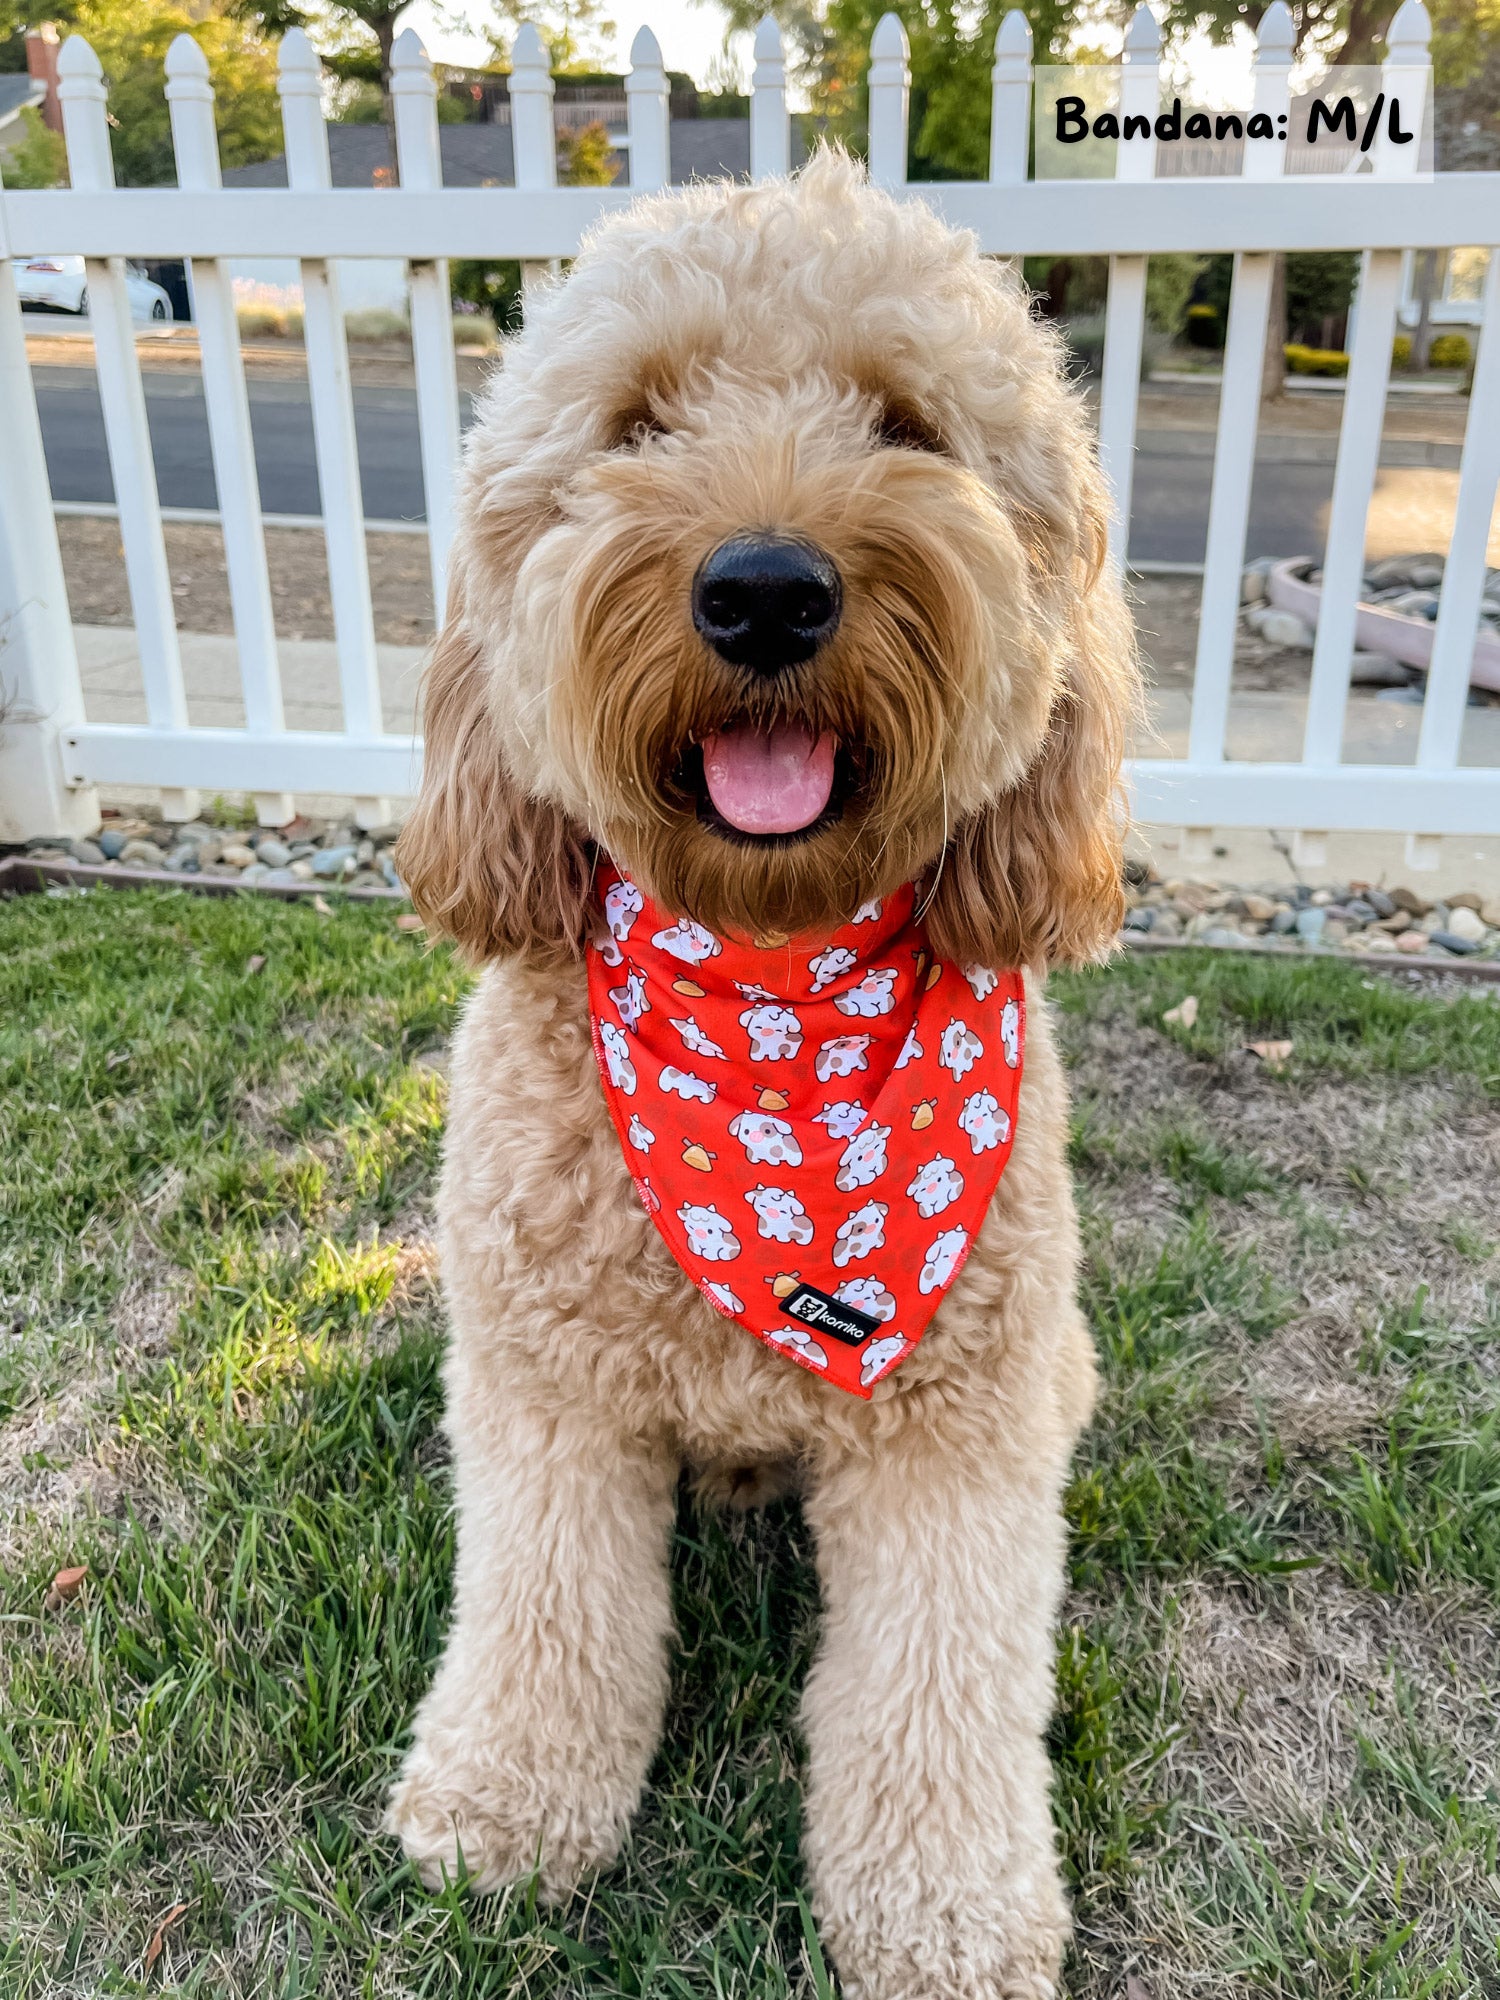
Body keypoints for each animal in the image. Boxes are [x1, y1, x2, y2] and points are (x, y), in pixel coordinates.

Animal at [384, 152, 1136, 2000]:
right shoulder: (544, 1393)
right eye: (638, 424)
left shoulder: (958, 1425)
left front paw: (946, 1915)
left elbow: (940, 1683)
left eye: (908, 422)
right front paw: (502, 1809)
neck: (770, 996)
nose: (767, 589)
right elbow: (543, 1612)